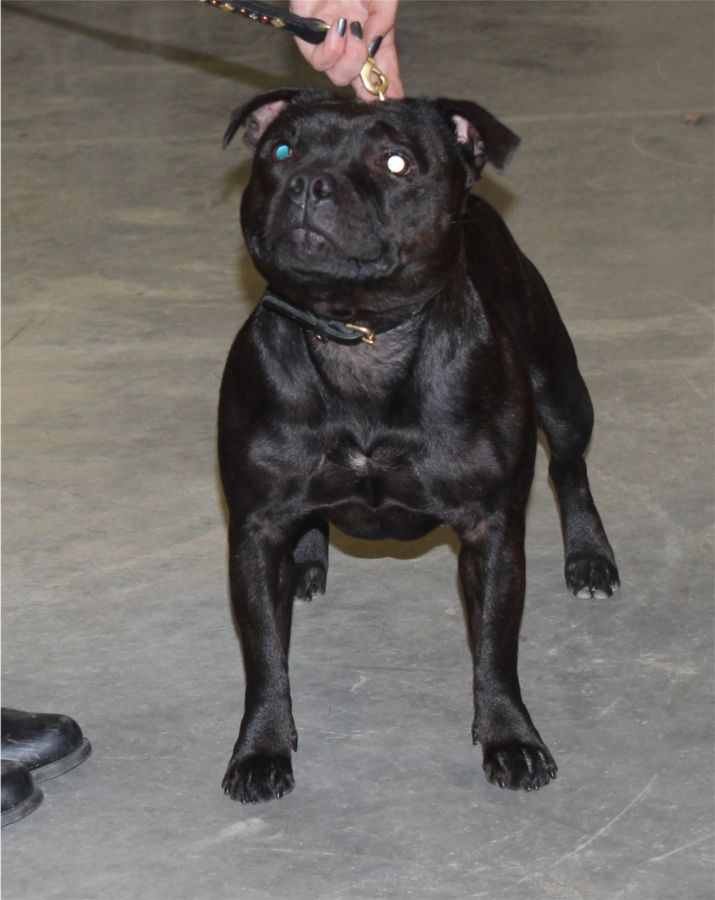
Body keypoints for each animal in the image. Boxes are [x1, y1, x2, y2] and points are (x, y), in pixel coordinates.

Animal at [218, 88, 619, 804]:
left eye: (396, 162)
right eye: (281, 150)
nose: (309, 182)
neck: (360, 334)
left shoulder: (492, 533)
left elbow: (495, 648)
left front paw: (511, 738)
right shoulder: (256, 532)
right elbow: (264, 656)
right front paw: (261, 750)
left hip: (561, 391)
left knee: (570, 467)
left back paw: (590, 558)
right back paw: (310, 559)